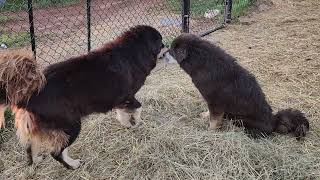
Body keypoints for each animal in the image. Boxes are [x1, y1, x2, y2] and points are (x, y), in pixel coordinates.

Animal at [2, 25, 166, 169]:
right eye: (161, 42)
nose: (167, 47)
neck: (133, 51)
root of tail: (30, 94)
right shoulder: (128, 96)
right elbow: (138, 108)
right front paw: (136, 122)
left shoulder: (120, 99)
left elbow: (123, 113)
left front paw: (126, 123)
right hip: (71, 125)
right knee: (57, 152)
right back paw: (73, 165)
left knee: (31, 147)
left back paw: (36, 161)